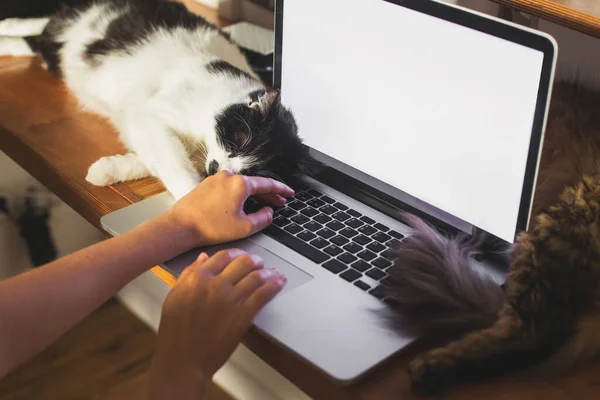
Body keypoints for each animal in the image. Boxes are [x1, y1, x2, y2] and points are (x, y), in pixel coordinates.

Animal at [0, 0, 316, 199]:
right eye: (239, 139)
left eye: (254, 171)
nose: (218, 170)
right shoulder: (150, 115)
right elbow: (176, 165)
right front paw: (195, 202)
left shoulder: (145, 130)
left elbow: (154, 159)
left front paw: (106, 171)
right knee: (41, 30)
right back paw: (9, 29)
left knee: (39, 40)